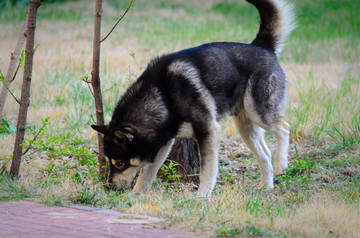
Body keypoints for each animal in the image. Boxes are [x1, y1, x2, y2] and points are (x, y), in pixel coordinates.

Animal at [92, 0, 296, 197]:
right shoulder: (163, 143)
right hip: (246, 127)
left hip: (259, 113)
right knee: (265, 155)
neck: (162, 94)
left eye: (119, 163)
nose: (109, 187)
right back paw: (267, 187)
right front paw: (136, 195)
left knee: (284, 128)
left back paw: (281, 163)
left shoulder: (208, 131)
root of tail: (261, 45)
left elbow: (207, 171)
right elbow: (146, 174)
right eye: (109, 161)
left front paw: (202, 197)